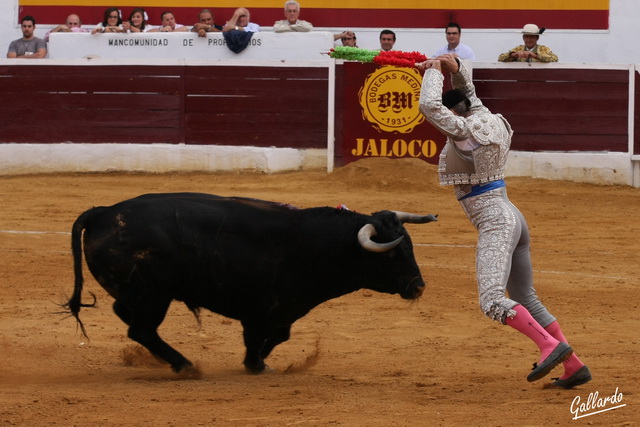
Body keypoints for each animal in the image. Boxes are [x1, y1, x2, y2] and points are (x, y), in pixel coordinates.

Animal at [65, 194, 438, 374]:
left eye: (410, 245)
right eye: (392, 254)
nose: (419, 286)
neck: (314, 243)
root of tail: (102, 212)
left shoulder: (286, 309)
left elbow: (279, 336)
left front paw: (259, 361)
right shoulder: (259, 309)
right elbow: (258, 337)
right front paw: (255, 364)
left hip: (140, 294)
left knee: (126, 315)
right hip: (153, 296)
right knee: (141, 329)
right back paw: (184, 365)